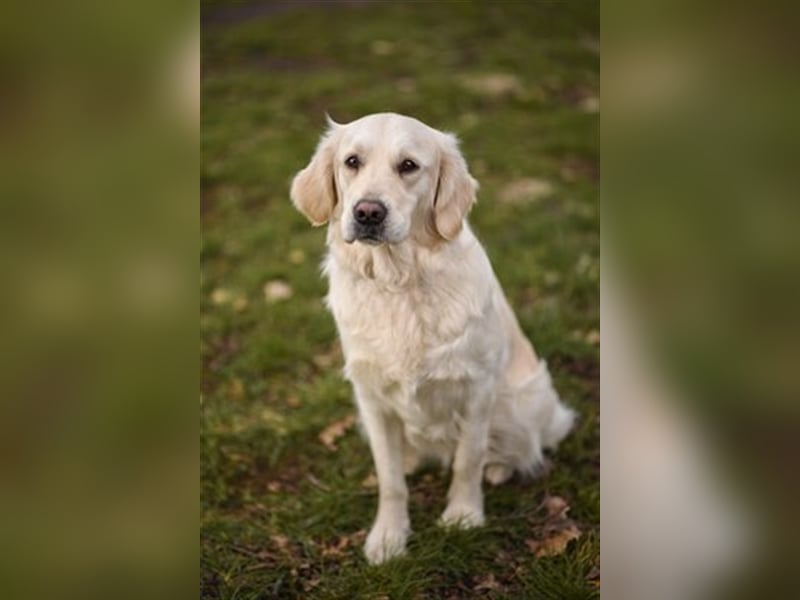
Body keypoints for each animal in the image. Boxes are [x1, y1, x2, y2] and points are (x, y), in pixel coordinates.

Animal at [290, 113, 572, 568]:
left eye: (408, 166)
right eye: (352, 161)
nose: (367, 212)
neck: (400, 282)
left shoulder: (477, 388)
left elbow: (467, 460)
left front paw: (463, 515)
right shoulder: (371, 399)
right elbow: (390, 480)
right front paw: (389, 535)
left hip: (524, 402)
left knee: (524, 445)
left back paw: (500, 468)